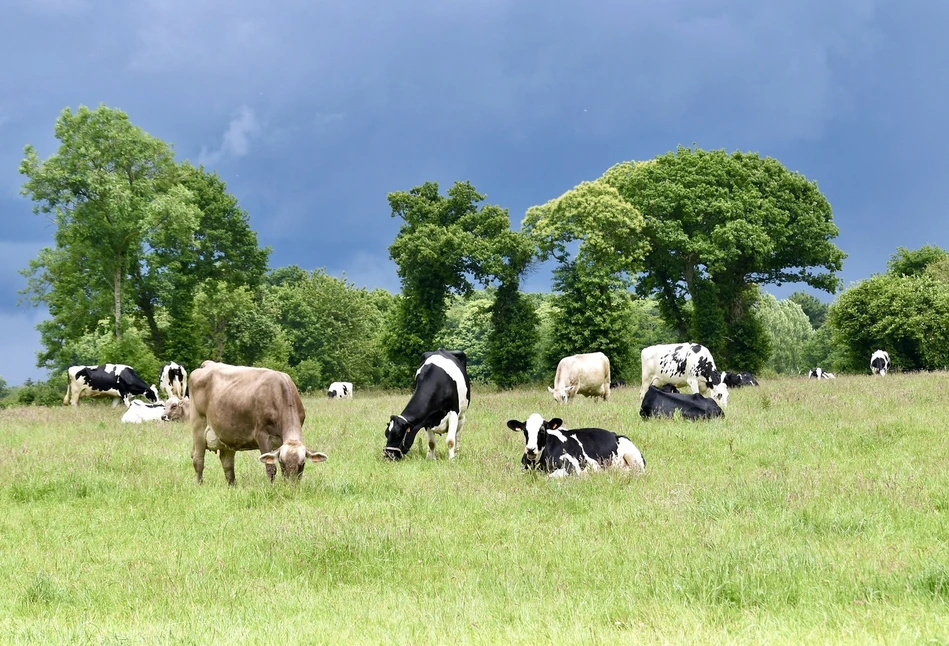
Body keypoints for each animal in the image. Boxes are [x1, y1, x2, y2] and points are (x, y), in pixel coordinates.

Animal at [187, 360, 328, 486]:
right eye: (282, 462)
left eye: (302, 463)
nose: (291, 486)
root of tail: (208, 364)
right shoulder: (262, 435)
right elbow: (270, 468)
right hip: (198, 427)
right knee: (198, 460)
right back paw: (199, 485)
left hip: (226, 434)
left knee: (227, 463)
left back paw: (232, 486)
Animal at [508, 418, 648, 478]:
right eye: (525, 431)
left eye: (542, 430)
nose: (530, 449)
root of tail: (613, 434)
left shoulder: (571, 468)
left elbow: (550, 477)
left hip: (635, 458)